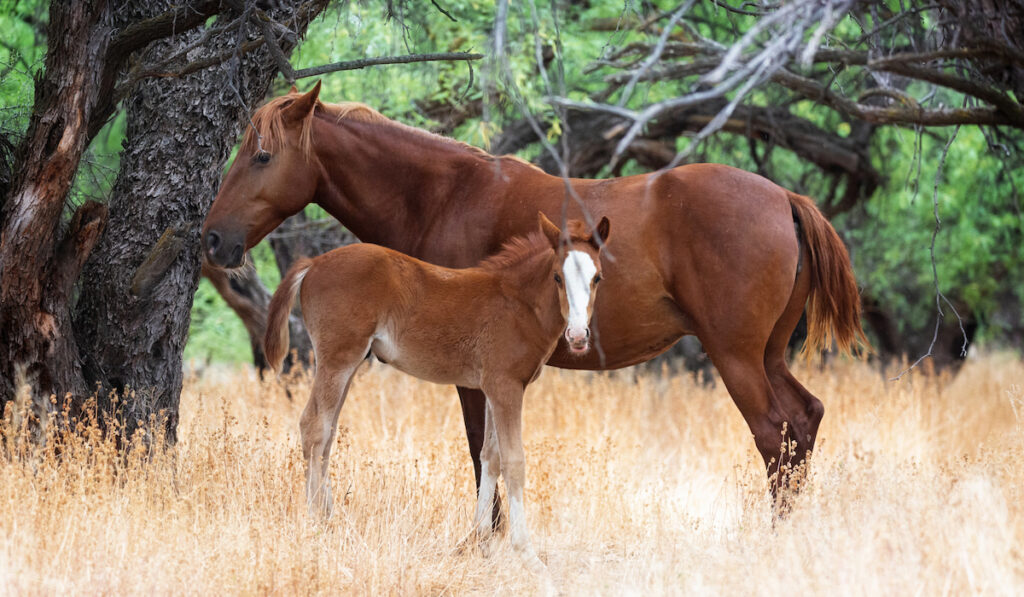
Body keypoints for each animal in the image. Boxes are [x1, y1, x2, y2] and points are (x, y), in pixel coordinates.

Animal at [266, 210, 606, 569]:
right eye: (557, 277)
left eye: (597, 278)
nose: (578, 336)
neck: (518, 302)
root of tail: (313, 262)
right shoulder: (506, 387)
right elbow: (513, 462)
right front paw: (525, 552)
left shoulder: (492, 388)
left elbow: (490, 457)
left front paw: (479, 541)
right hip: (337, 360)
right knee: (313, 427)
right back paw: (314, 522)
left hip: (347, 363)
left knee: (327, 434)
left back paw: (331, 519)